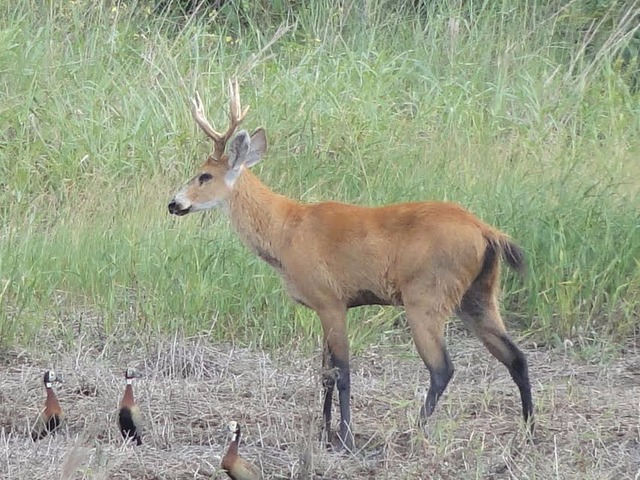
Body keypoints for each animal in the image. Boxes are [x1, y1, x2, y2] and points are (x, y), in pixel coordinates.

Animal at [169, 79, 536, 450]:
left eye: (203, 176)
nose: (174, 203)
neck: (285, 232)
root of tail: (486, 231)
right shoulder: (322, 305)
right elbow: (325, 373)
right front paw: (324, 432)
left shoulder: (331, 299)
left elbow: (342, 372)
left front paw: (345, 436)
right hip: (479, 293)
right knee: (516, 357)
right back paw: (529, 430)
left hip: (428, 295)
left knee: (442, 367)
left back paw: (415, 431)